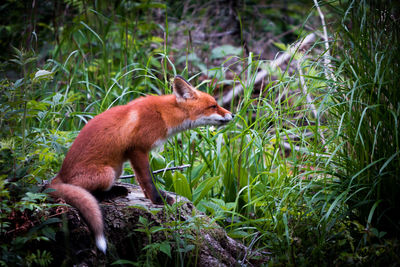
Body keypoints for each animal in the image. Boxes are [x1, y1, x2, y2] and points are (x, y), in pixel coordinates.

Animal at [48, 75, 233, 253]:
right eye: (213, 106)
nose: (232, 115)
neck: (163, 115)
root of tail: (59, 175)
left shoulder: (135, 153)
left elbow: (141, 181)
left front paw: (148, 197)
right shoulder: (137, 148)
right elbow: (147, 179)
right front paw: (159, 199)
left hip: (118, 169)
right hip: (108, 172)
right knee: (88, 193)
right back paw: (113, 192)